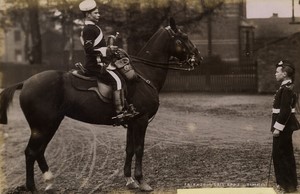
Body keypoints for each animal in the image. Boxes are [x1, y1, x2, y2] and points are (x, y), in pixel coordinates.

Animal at [0, 17, 202, 192]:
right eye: (184, 37)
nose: (198, 58)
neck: (143, 75)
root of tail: (25, 82)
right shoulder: (141, 121)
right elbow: (139, 149)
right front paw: (142, 181)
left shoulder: (132, 122)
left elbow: (129, 149)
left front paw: (129, 180)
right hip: (42, 126)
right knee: (31, 152)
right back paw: (32, 187)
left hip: (51, 124)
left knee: (39, 151)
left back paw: (49, 181)